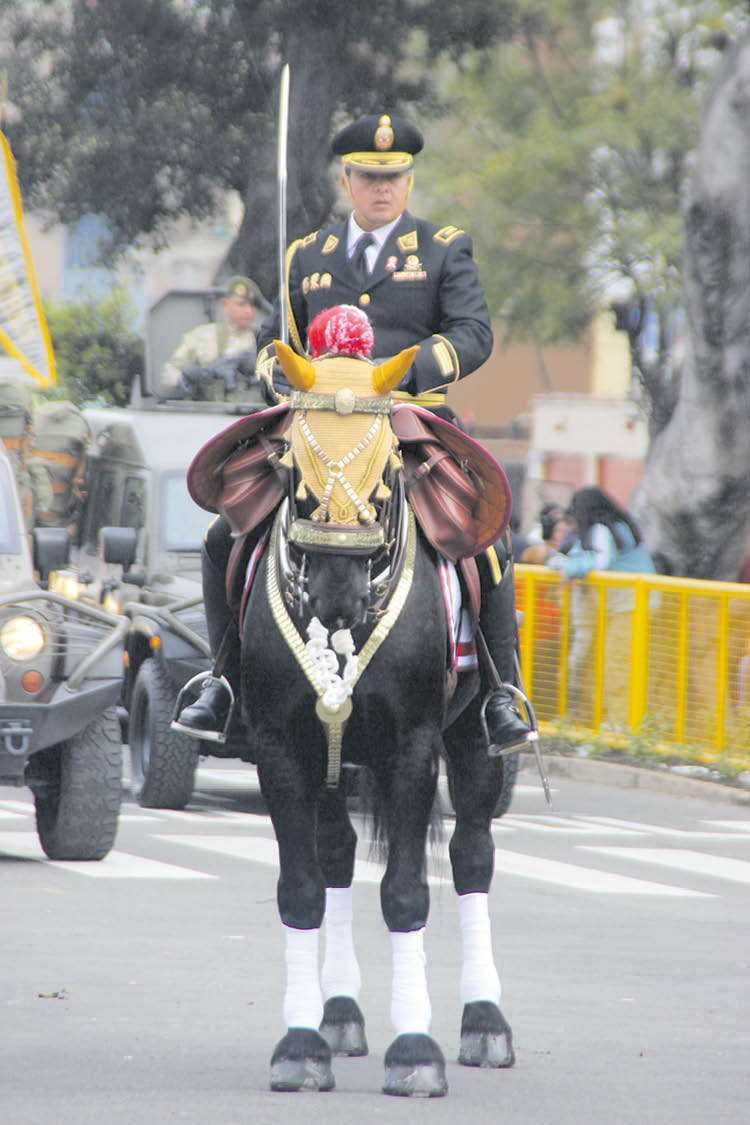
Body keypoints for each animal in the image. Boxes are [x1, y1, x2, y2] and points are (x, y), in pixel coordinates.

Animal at [237, 344, 519, 1098]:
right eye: (294, 470)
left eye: (389, 467)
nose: (338, 592)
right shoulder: (282, 750)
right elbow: (302, 887)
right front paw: (301, 1043)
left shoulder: (412, 749)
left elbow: (406, 892)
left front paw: (416, 1049)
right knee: (336, 853)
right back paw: (336, 1013)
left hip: (472, 742)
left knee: (472, 856)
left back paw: (485, 1021)